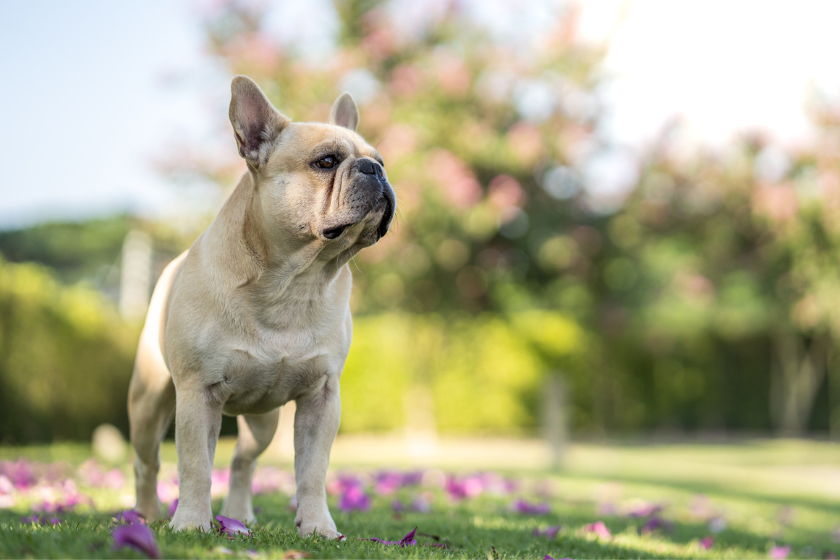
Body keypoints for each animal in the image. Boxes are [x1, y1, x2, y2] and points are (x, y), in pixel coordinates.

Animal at [128, 75, 398, 540]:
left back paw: (240, 515)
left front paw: (318, 527)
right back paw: (147, 515)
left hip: (264, 421)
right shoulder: (197, 393)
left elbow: (313, 471)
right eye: (326, 161)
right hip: (148, 404)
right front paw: (192, 523)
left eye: (380, 160)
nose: (375, 169)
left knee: (242, 460)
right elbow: (195, 465)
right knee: (148, 462)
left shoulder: (321, 398)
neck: (295, 282)